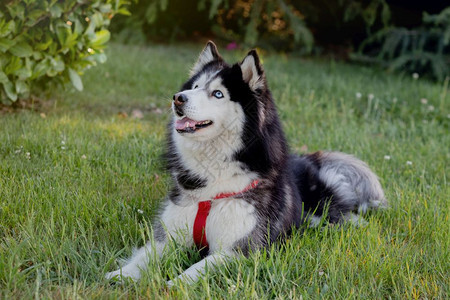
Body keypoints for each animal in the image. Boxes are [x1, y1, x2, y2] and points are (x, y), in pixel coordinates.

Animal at [105, 41, 386, 284]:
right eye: (194, 87)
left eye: (218, 93)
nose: (178, 98)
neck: (213, 181)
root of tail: (307, 160)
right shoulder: (169, 237)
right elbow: (145, 256)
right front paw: (121, 275)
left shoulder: (239, 250)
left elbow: (196, 269)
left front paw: (174, 284)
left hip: (324, 215)